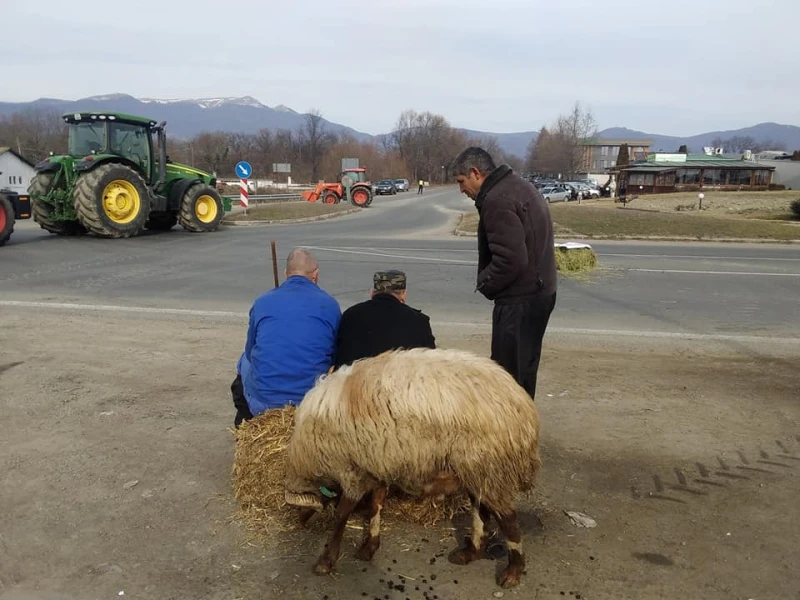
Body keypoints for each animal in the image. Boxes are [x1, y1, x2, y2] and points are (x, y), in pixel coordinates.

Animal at [284, 346, 540, 584]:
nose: (300, 523)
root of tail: (523, 404)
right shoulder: (377, 464)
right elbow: (375, 506)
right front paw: (369, 547)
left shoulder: (352, 471)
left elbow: (341, 515)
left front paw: (326, 561)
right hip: (475, 469)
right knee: (481, 510)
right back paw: (470, 553)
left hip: (489, 464)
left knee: (508, 519)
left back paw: (512, 573)